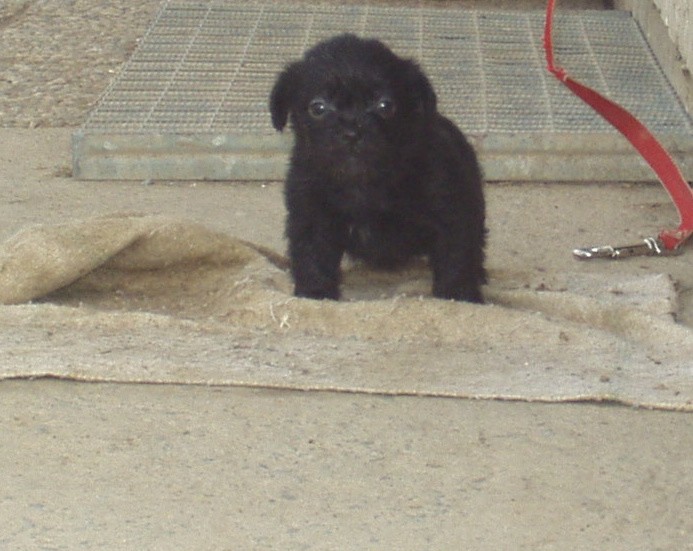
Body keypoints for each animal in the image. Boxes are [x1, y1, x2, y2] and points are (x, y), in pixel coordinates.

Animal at [268, 35, 484, 302]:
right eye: (317, 108)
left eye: (385, 105)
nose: (352, 132)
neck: (363, 181)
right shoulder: (310, 217)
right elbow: (311, 258)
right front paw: (315, 294)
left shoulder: (451, 215)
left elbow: (455, 259)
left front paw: (459, 296)